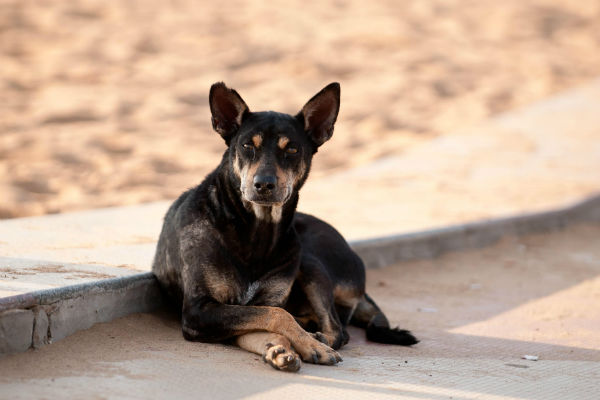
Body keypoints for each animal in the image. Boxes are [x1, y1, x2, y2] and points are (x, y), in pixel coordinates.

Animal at [151, 83, 418, 374]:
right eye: (247, 145)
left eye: (291, 149)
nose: (263, 184)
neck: (254, 230)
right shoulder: (200, 311)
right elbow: (274, 318)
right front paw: (282, 349)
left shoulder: (246, 305)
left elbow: (276, 314)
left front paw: (304, 346)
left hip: (309, 260)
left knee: (339, 330)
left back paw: (319, 337)